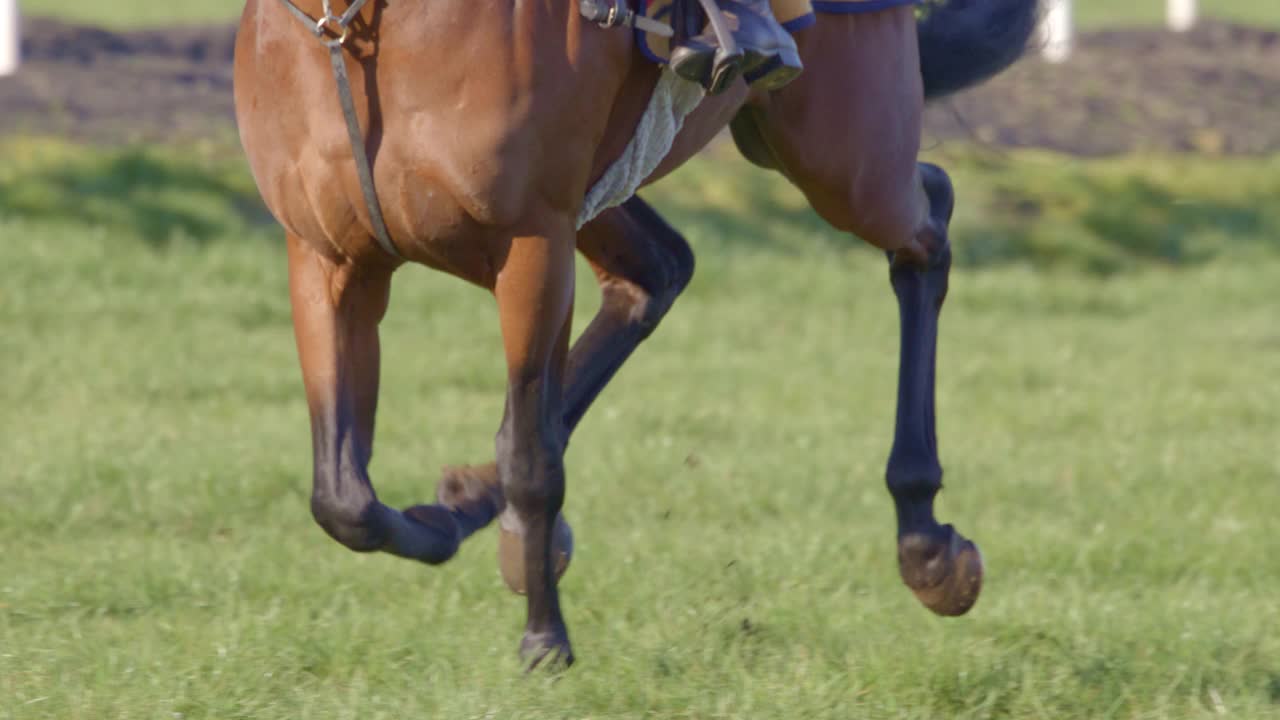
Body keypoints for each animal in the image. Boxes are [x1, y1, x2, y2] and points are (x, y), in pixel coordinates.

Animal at [235, 0, 1044, 666]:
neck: (371, 33)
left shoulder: (533, 244)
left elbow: (529, 451)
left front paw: (544, 638)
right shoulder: (326, 260)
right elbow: (343, 498)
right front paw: (445, 523)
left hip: (846, 157)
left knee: (929, 225)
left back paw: (928, 542)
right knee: (661, 269)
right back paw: (480, 512)